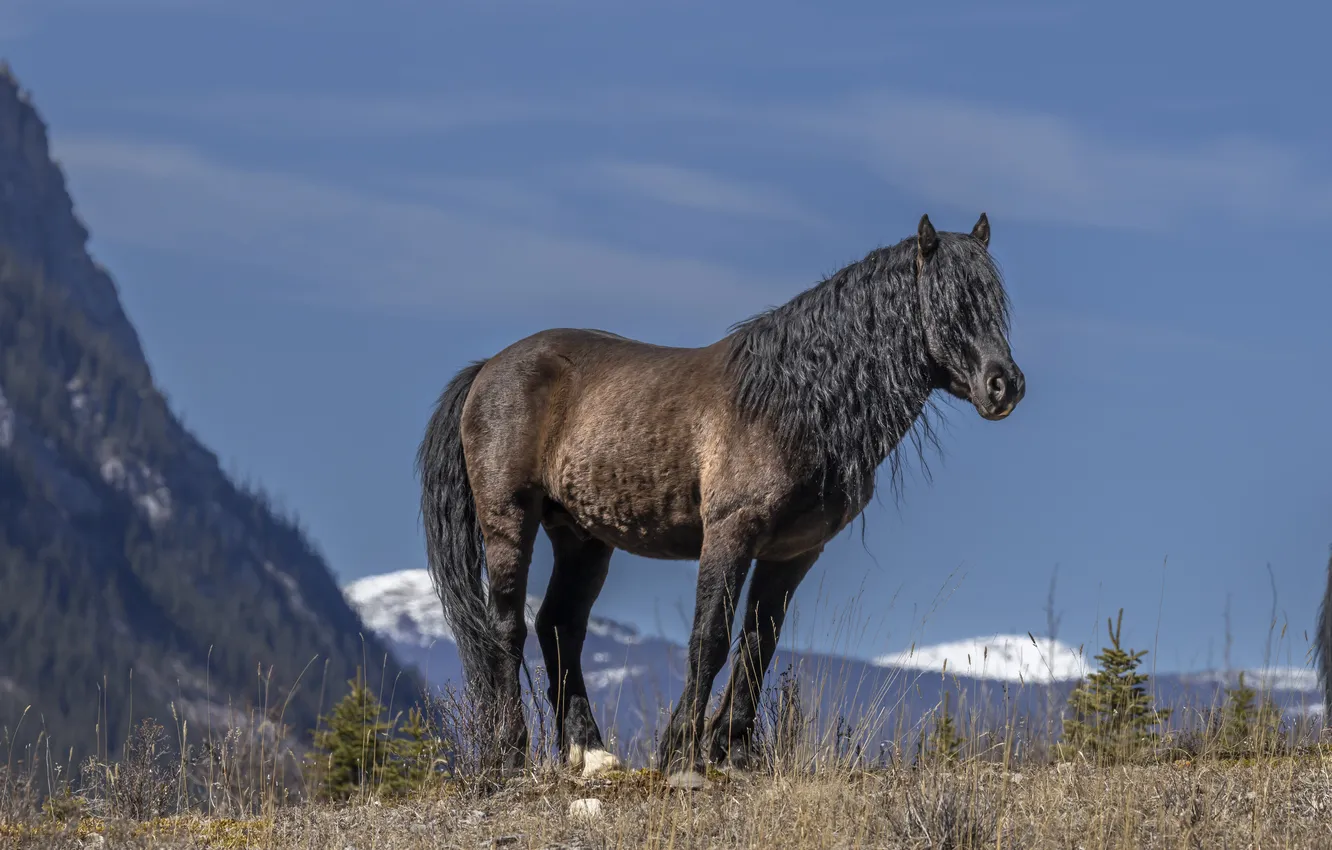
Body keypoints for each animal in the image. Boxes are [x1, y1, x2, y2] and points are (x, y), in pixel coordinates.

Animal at [418, 213, 1026, 787]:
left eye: (995, 302)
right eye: (951, 301)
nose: (1004, 386)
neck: (789, 406)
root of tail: (488, 369)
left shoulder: (791, 554)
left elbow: (758, 644)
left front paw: (733, 753)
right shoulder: (730, 534)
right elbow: (708, 639)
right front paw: (684, 755)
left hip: (581, 536)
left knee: (559, 625)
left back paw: (590, 754)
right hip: (509, 520)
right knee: (507, 628)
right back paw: (509, 758)